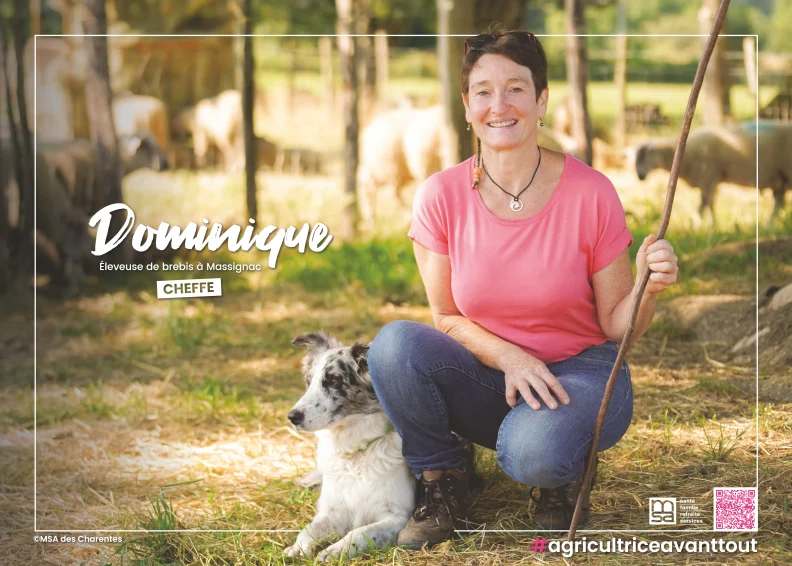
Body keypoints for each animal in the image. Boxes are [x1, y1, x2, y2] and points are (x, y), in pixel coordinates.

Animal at [284, 336, 414, 560]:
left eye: (334, 380)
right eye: (309, 382)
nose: (292, 417)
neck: (354, 454)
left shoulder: (398, 517)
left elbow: (361, 532)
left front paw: (335, 550)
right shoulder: (334, 510)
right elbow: (310, 529)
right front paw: (299, 546)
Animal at [636, 122, 792, 226]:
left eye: (644, 156)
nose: (640, 177)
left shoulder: (708, 177)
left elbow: (705, 204)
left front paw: (701, 225)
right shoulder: (710, 180)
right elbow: (709, 204)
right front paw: (709, 226)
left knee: (779, 203)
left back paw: (769, 225)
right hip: (781, 179)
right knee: (779, 203)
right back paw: (770, 224)